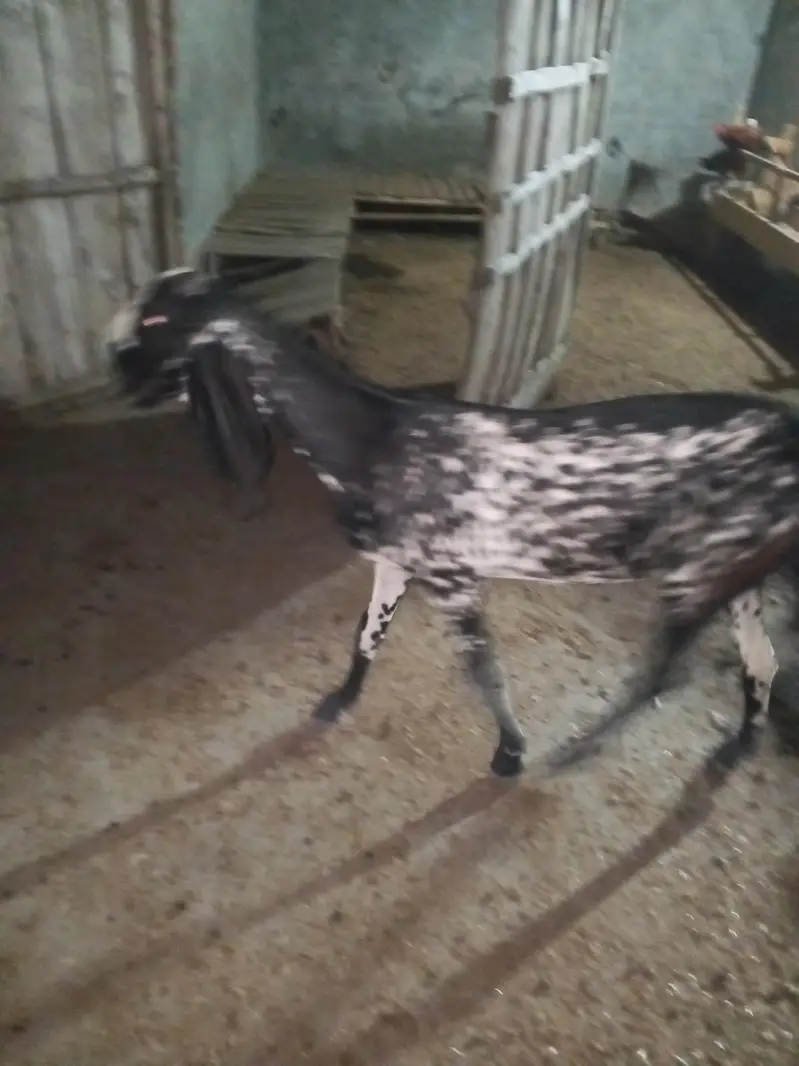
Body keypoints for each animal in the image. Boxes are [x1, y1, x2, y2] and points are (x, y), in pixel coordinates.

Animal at [109, 267, 799, 781]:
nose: (116, 376)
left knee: (665, 673)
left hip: (697, 574)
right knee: (761, 661)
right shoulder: (396, 563)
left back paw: (576, 752)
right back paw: (737, 747)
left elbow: (481, 668)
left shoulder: (453, 577)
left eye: (155, 322)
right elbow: (366, 636)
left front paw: (511, 753)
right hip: (737, 575)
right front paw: (339, 702)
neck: (371, 438)